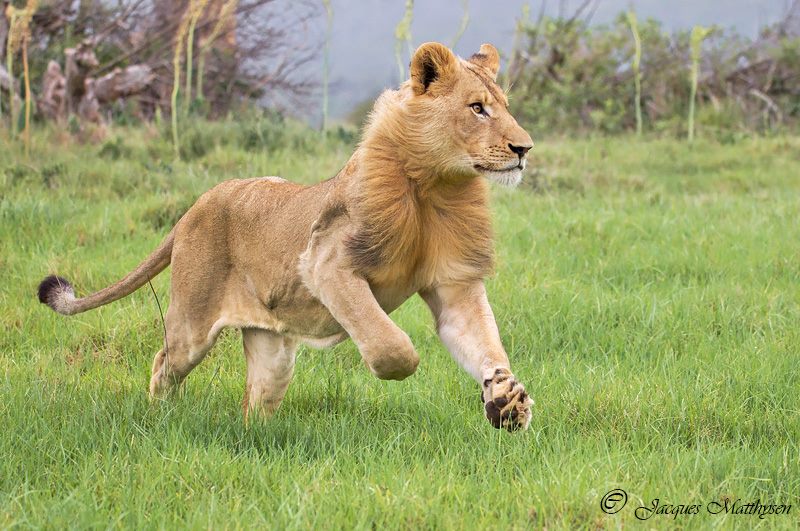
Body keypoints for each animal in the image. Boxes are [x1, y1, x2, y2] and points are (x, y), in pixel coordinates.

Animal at [39, 41, 536, 432]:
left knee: (254, 402)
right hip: (191, 326)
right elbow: (392, 345)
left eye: (505, 106)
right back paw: (161, 417)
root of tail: (196, 205)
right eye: (477, 108)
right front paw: (398, 365)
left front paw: (506, 398)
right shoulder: (326, 264)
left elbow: (484, 342)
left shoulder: (454, 284)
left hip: (272, 351)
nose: (524, 149)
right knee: (165, 363)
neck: (437, 189)